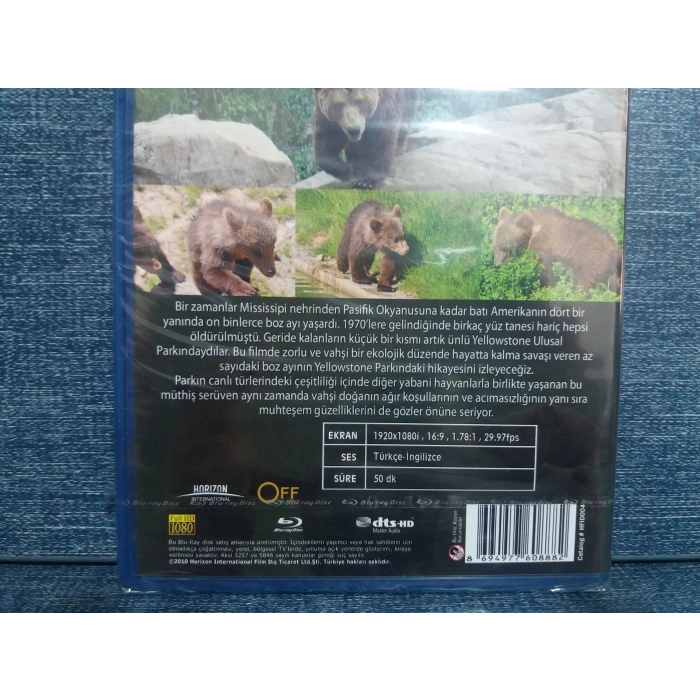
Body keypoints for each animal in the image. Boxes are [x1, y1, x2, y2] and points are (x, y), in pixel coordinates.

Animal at [493, 207, 622, 293]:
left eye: (505, 247)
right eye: (494, 245)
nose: (496, 264)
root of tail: (614, 249)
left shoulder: (543, 250)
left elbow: (546, 273)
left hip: (589, 262)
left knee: (582, 284)